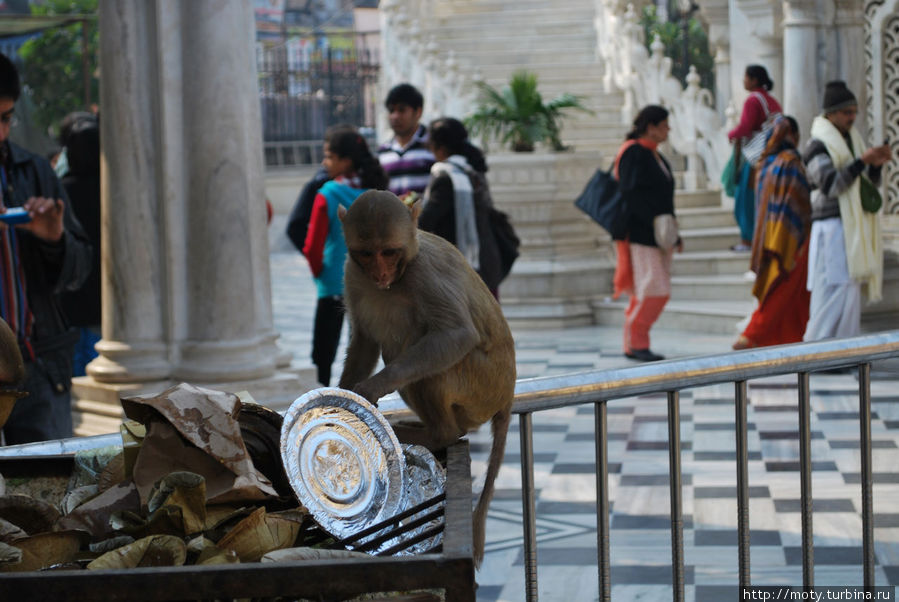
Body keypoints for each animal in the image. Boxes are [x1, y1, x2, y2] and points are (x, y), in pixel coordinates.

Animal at [338, 190, 516, 564]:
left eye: (389, 252)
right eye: (367, 253)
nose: (380, 272)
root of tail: (507, 393)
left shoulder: (424, 273)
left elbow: (457, 334)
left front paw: (372, 387)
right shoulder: (352, 272)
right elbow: (364, 341)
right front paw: (342, 394)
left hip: (481, 387)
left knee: (427, 365)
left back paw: (438, 434)